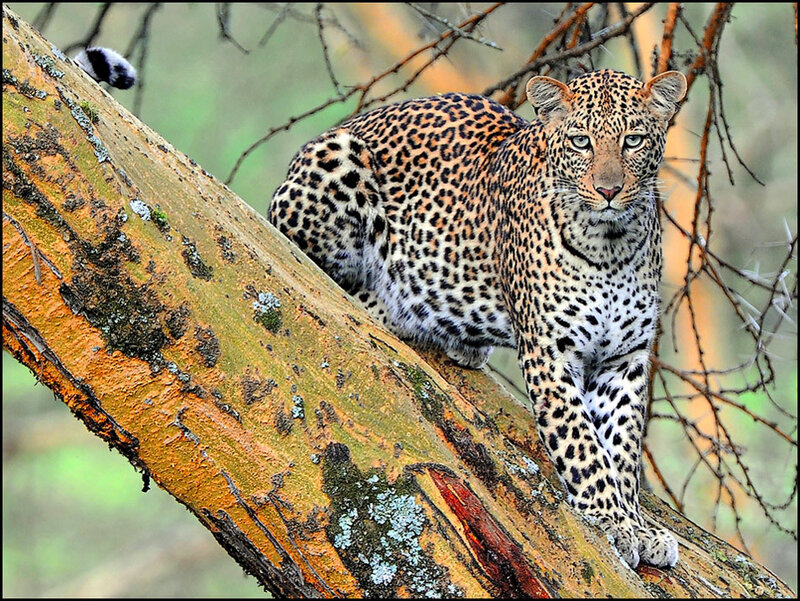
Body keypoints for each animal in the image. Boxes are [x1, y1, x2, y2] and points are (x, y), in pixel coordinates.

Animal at [269, 68, 687, 569]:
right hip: (336, 160)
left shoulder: (624, 358)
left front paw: (637, 525)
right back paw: (392, 305)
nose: (609, 191)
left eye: (634, 141)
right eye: (582, 142)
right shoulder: (551, 350)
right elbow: (582, 446)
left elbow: (620, 449)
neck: (612, 243)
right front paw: (613, 522)